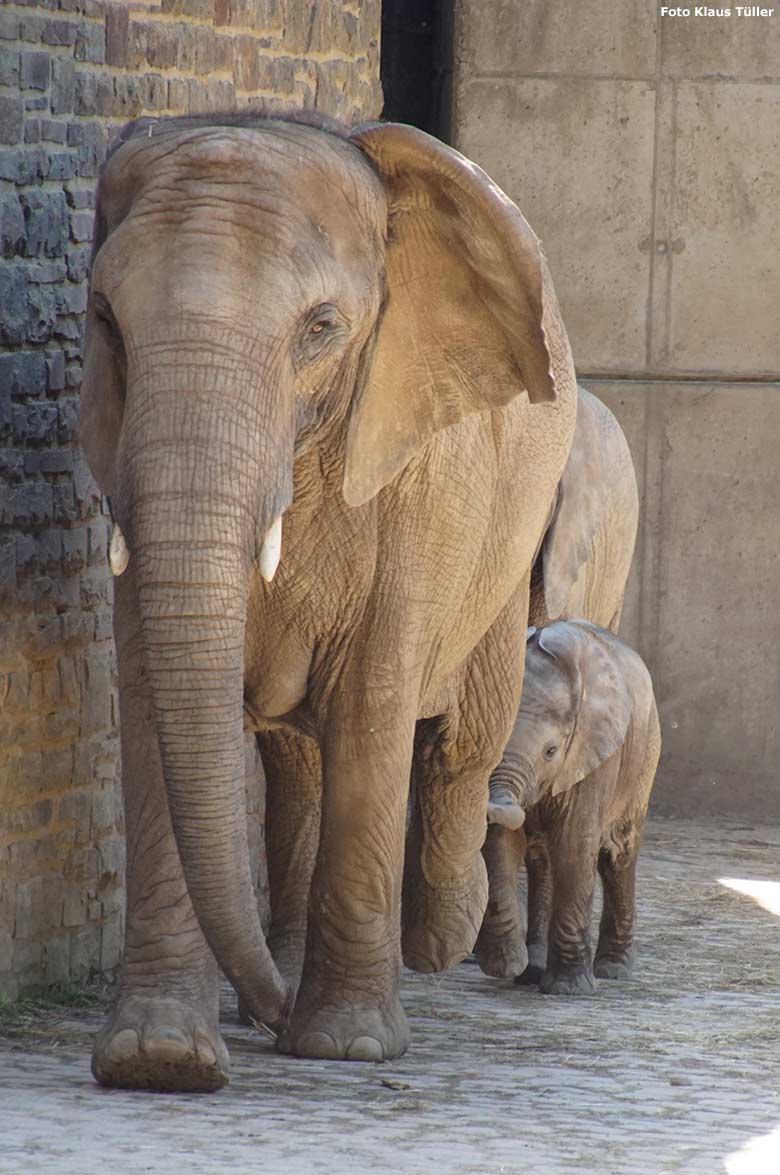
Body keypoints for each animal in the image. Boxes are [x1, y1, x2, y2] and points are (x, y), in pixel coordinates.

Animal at [80, 110, 577, 1090]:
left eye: (321, 328)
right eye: (108, 321)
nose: (270, 1014)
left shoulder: (421, 469)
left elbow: (375, 698)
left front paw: (346, 1045)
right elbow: (150, 692)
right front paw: (161, 1058)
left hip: (509, 536)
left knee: (466, 737)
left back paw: (444, 936)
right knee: (297, 767)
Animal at [481, 620, 657, 996]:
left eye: (550, 751)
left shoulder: (595, 756)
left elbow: (574, 847)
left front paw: (568, 988)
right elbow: (505, 844)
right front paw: (508, 965)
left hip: (646, 754)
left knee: (619, 855)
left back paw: (613, 969)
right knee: (542, 861)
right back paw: (532, 968)